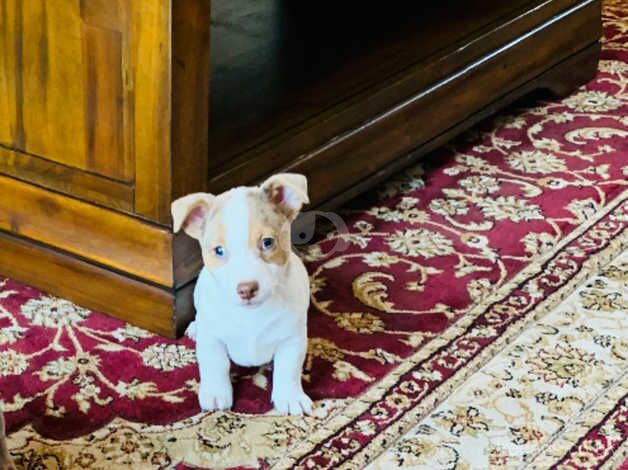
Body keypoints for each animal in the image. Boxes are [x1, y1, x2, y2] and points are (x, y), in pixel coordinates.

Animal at [172, 173, 312, 414]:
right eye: (219, 251)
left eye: (267, 242)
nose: (246, 288)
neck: (250, 316)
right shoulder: (212, 339)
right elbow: (214, 364)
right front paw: (216, 393)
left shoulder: (292, 339)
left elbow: (288, 369)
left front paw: (290, 396)